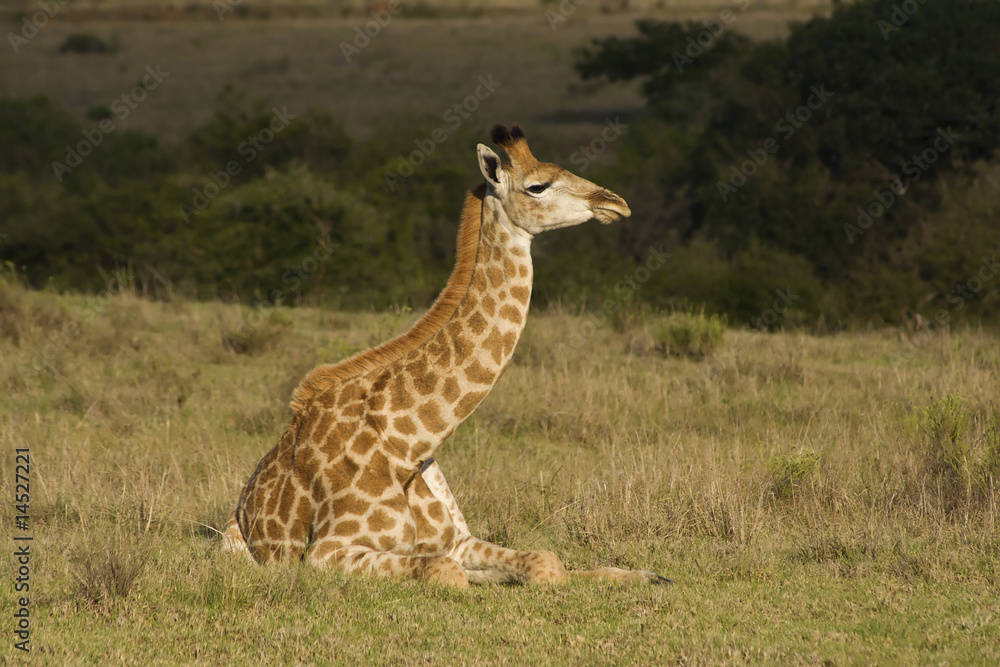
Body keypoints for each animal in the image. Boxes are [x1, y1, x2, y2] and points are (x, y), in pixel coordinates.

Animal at [222, 124, 669, 587]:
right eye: (537, 186)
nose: (614, 203)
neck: (407, 444)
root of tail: (241, 505)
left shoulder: (458, 539)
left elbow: (547, 562)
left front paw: (645, 575)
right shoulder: (327, 552)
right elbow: (448, 573)